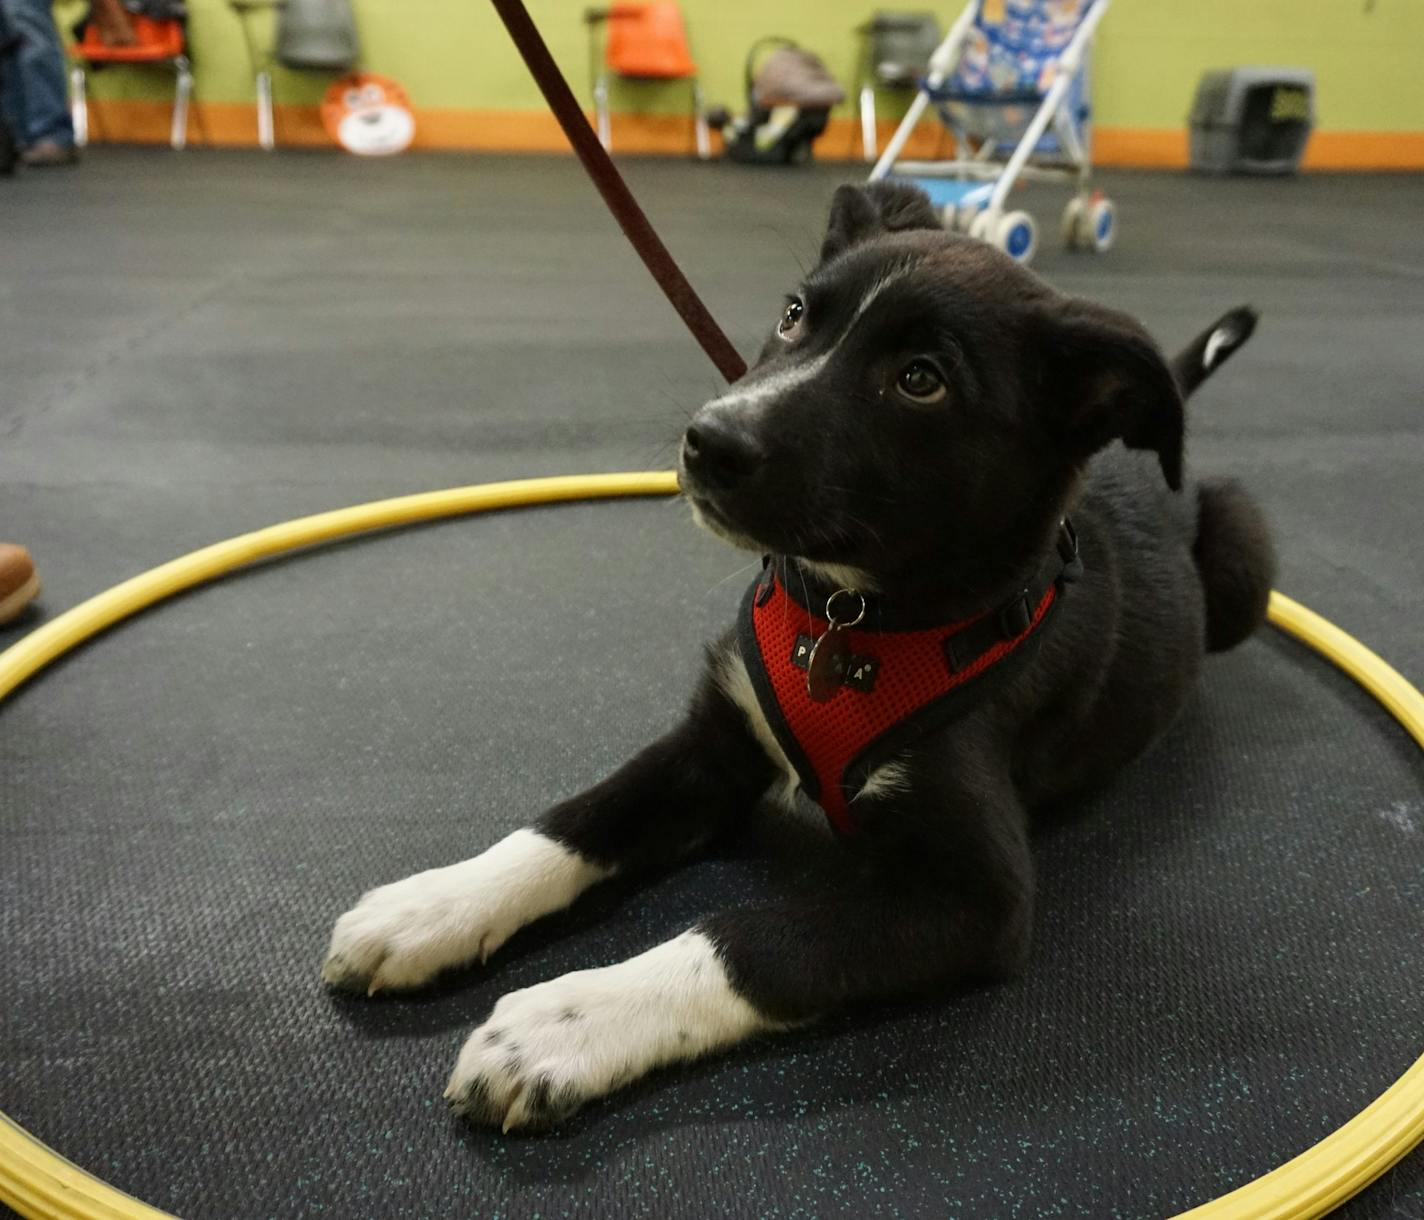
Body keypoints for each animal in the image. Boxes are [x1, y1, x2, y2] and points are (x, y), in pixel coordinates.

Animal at [323, 183, 1281, 1133]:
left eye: (921, 380)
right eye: (793, 316)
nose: (708, 441)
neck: (854, 619)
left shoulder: (975, 895)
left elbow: (746, 941)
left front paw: (559, 1027)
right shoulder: (712, 740)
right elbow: (576, 820)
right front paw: (433, 907)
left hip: (1242, 555)